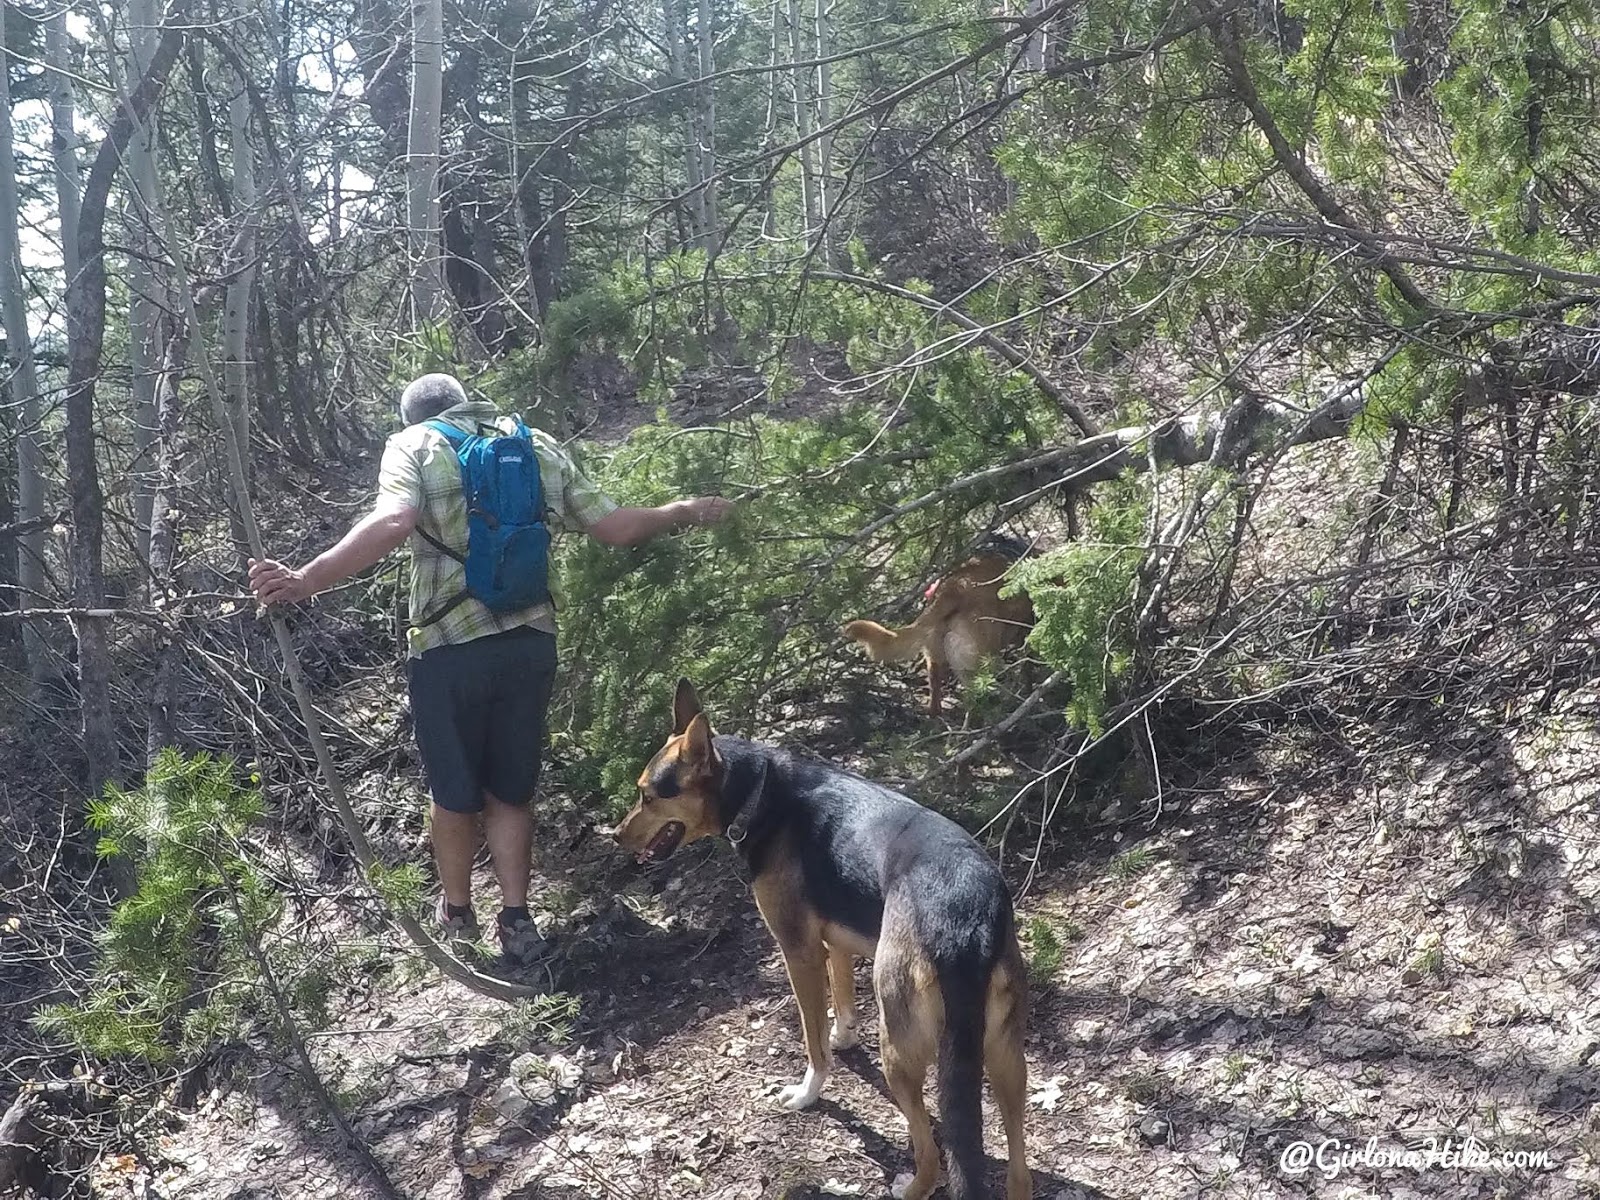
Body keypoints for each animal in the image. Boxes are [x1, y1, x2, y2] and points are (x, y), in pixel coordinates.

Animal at [611, 681, 1036, 1200]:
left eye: (648, 796)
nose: (615, 836)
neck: (759, 793)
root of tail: (963, 916)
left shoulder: (799, 951)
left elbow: (813, 1041)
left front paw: (807, 1091)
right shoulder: (836, 944)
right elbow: (841, 998)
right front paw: (845, 1036)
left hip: (901, 1047)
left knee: (931, 1151)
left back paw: (910, 1185)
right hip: (1003, 1052)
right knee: (1018, 1165)